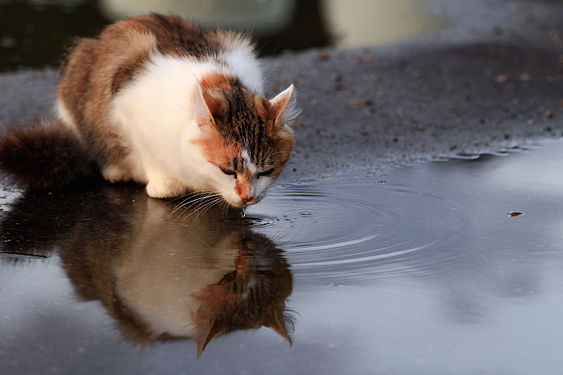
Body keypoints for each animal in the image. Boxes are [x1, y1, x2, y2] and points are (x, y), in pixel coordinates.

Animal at [0, 13, 300, 209]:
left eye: (266, 171)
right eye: (227, 171)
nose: (248, 197)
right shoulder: (126, 108)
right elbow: (148, 154)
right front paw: (164, 184)